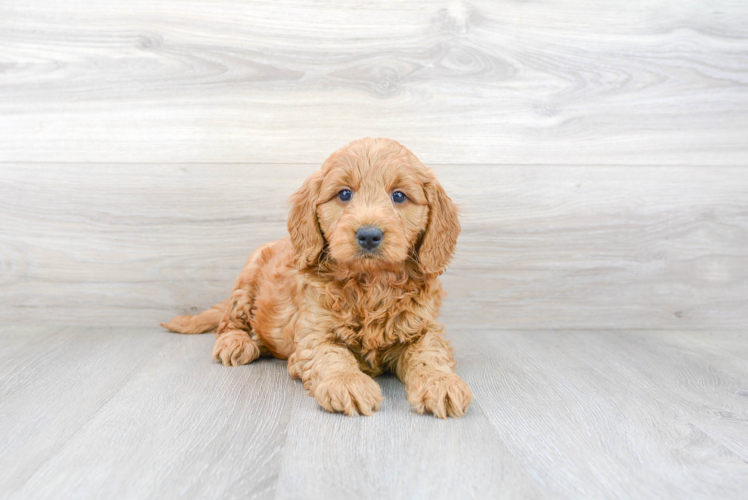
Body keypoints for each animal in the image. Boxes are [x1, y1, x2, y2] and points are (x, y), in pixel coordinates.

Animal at [163, 137, 470, 418]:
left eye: (399, 196)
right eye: (344, 194)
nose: (369, 235)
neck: (370, 284)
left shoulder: (423, 327)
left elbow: (430, 354)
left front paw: (442, 383)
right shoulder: (314, 333)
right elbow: (331, 355)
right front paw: (348, 383)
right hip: (247, 279)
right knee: (228, 323)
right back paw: (237, 343)